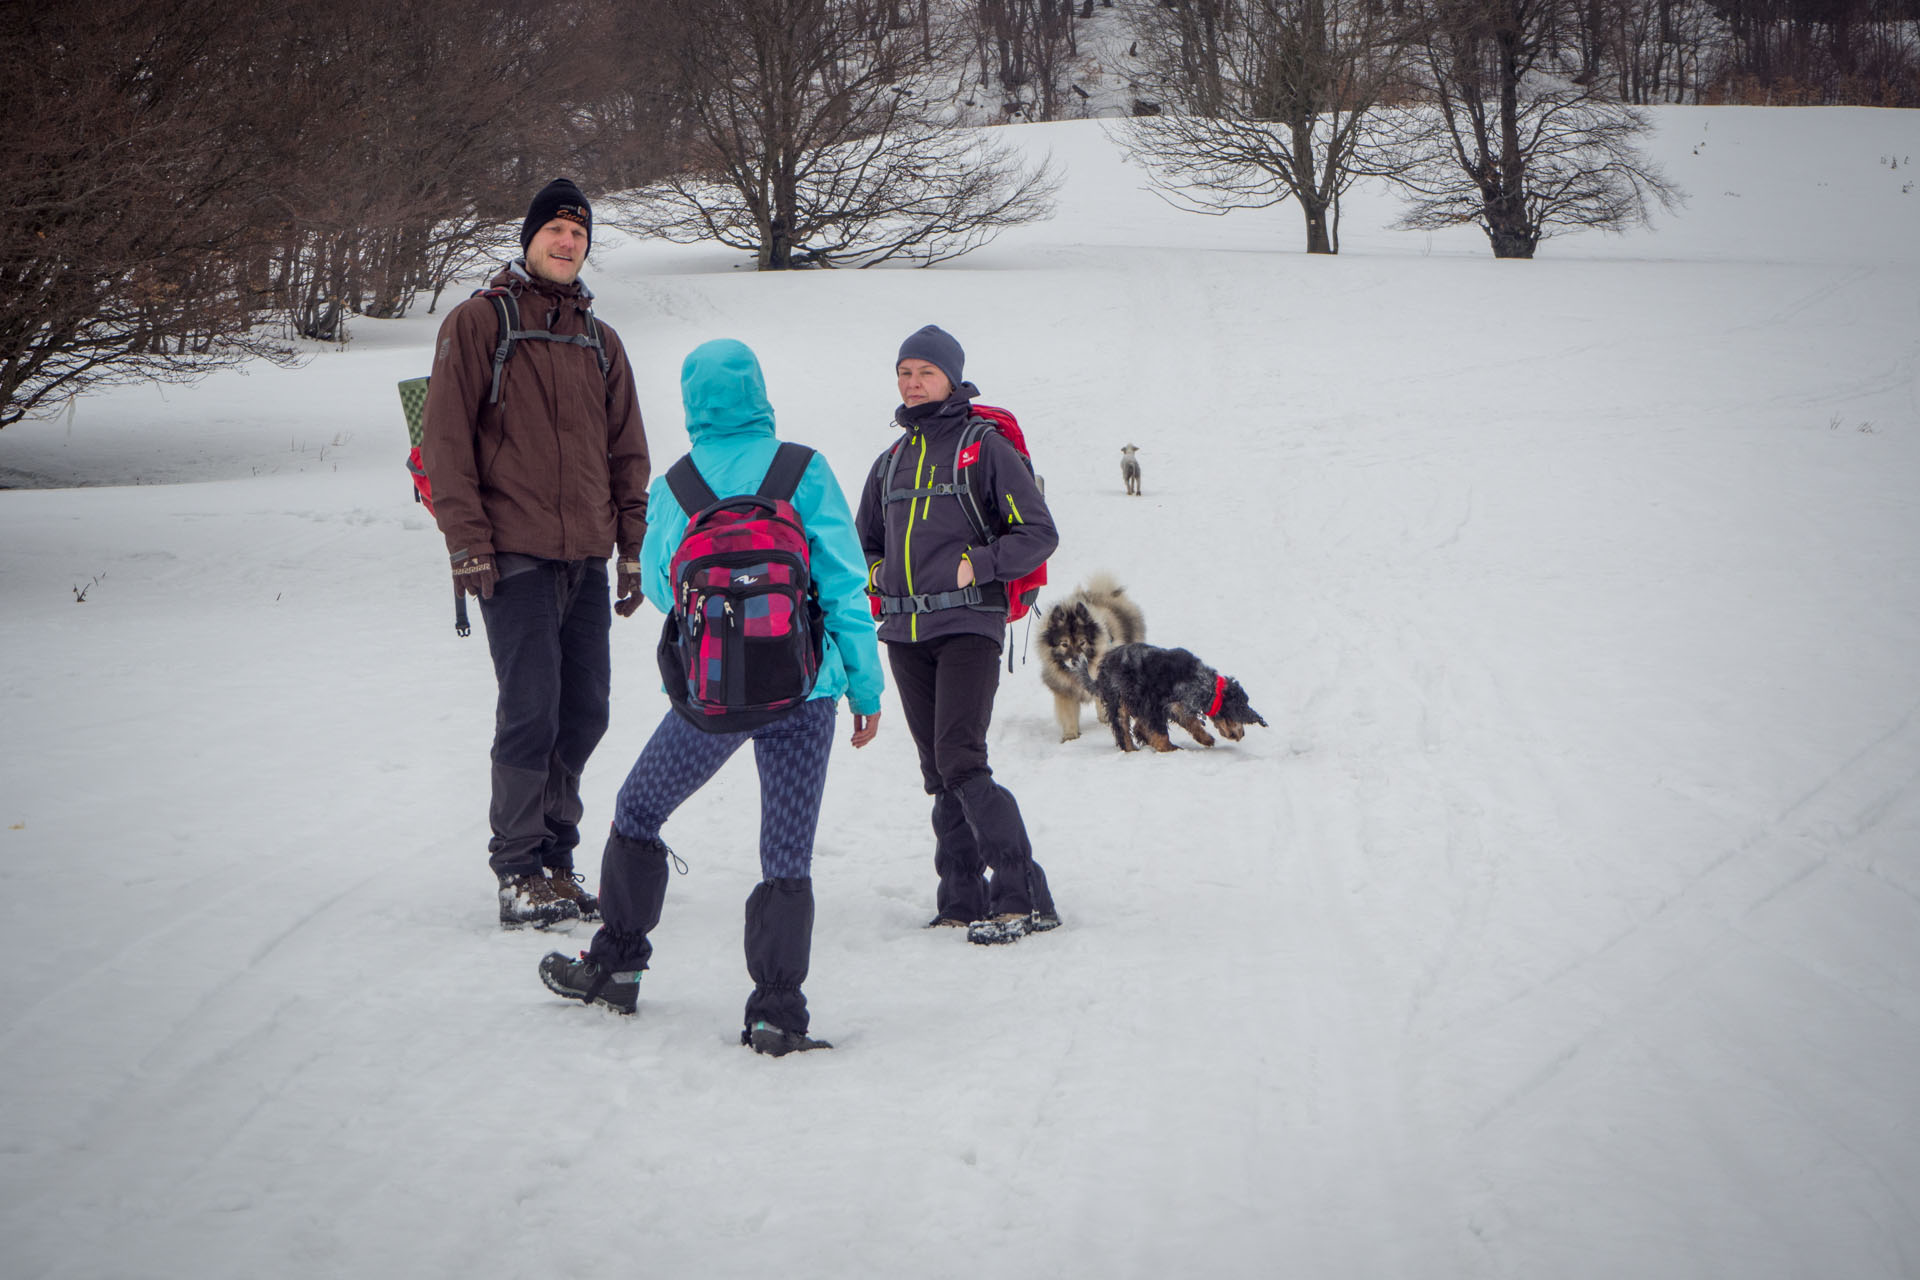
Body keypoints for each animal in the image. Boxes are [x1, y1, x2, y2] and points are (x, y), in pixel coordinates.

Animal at [1044, 575, 1144, 744]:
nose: (1075, 661)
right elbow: (1068, 716)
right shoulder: (1065, 690)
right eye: (1064, 644)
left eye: (1082, 642)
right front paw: (1070, 736)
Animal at [1090, 640, 1267, 752]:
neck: (1200, 682)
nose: (1242, 734)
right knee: (1123, 730)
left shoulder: (1178, 706)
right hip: (1118, 701)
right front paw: (1169, 749)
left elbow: (1191, 722)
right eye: (1238, 716)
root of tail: (1104, 663)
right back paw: (1131, 749)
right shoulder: (1155, 705)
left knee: (1137, 727)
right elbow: (1161, 733)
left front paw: (1206, 738)